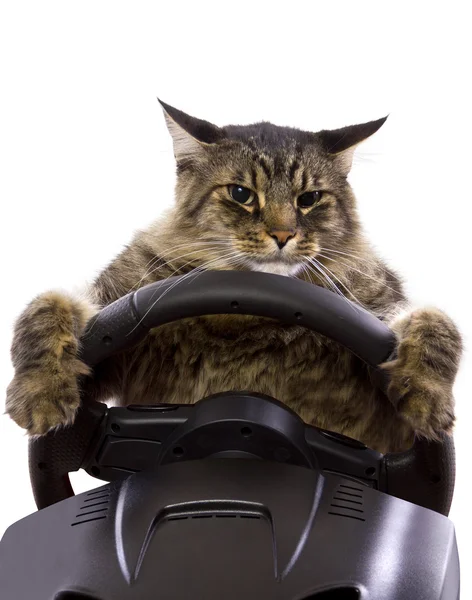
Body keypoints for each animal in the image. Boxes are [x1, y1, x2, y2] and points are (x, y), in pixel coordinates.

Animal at [2, 101, 460, 452]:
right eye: (242, 194)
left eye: (309, 199)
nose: (283, 235)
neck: (249, 309)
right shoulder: (112, 307)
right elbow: (45, 307)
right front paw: (40, 391)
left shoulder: (378, 311)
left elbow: (437, 324)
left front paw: (428, 396)